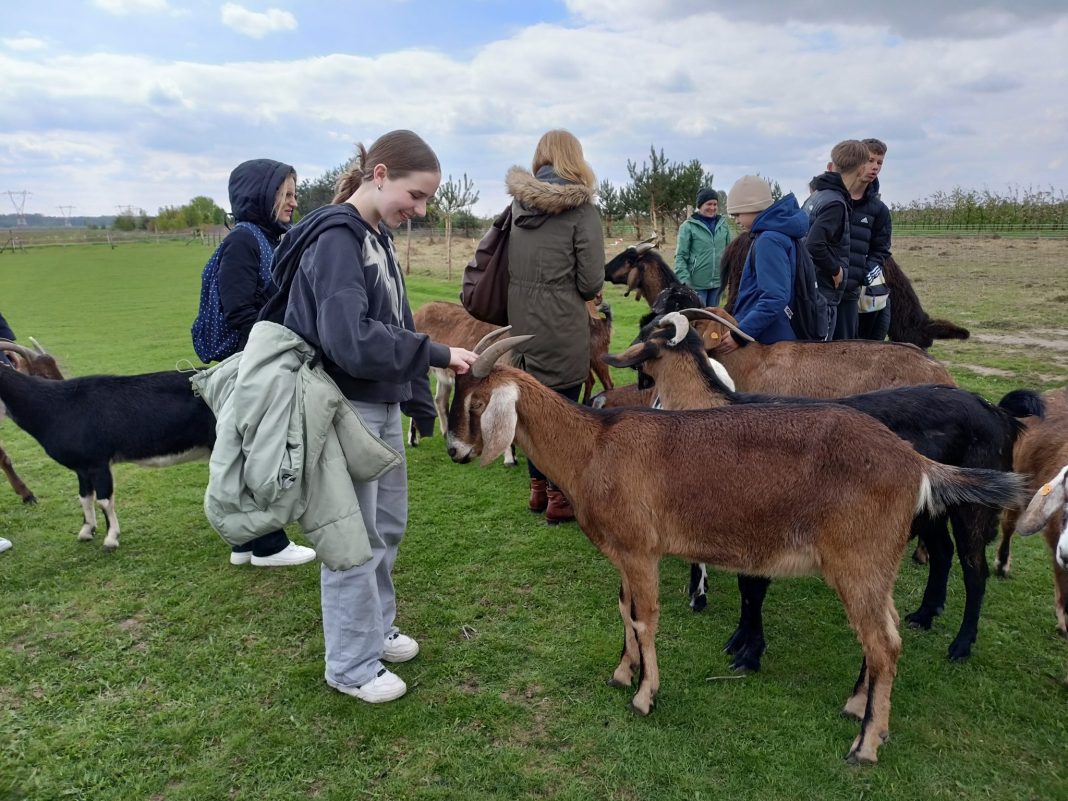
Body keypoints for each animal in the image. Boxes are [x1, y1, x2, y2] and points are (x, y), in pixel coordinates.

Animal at [606, 313, 1038, 666]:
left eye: (648, 332)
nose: (615, 357)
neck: (717, 408)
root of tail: (1001, 415)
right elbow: (748, 585)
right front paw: (740, 640)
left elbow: (752, 587)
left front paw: (747, 651)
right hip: (932, 507)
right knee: (944, 554)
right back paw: (924, 616)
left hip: (972, 509)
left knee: (974, 570)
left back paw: (961, 646)